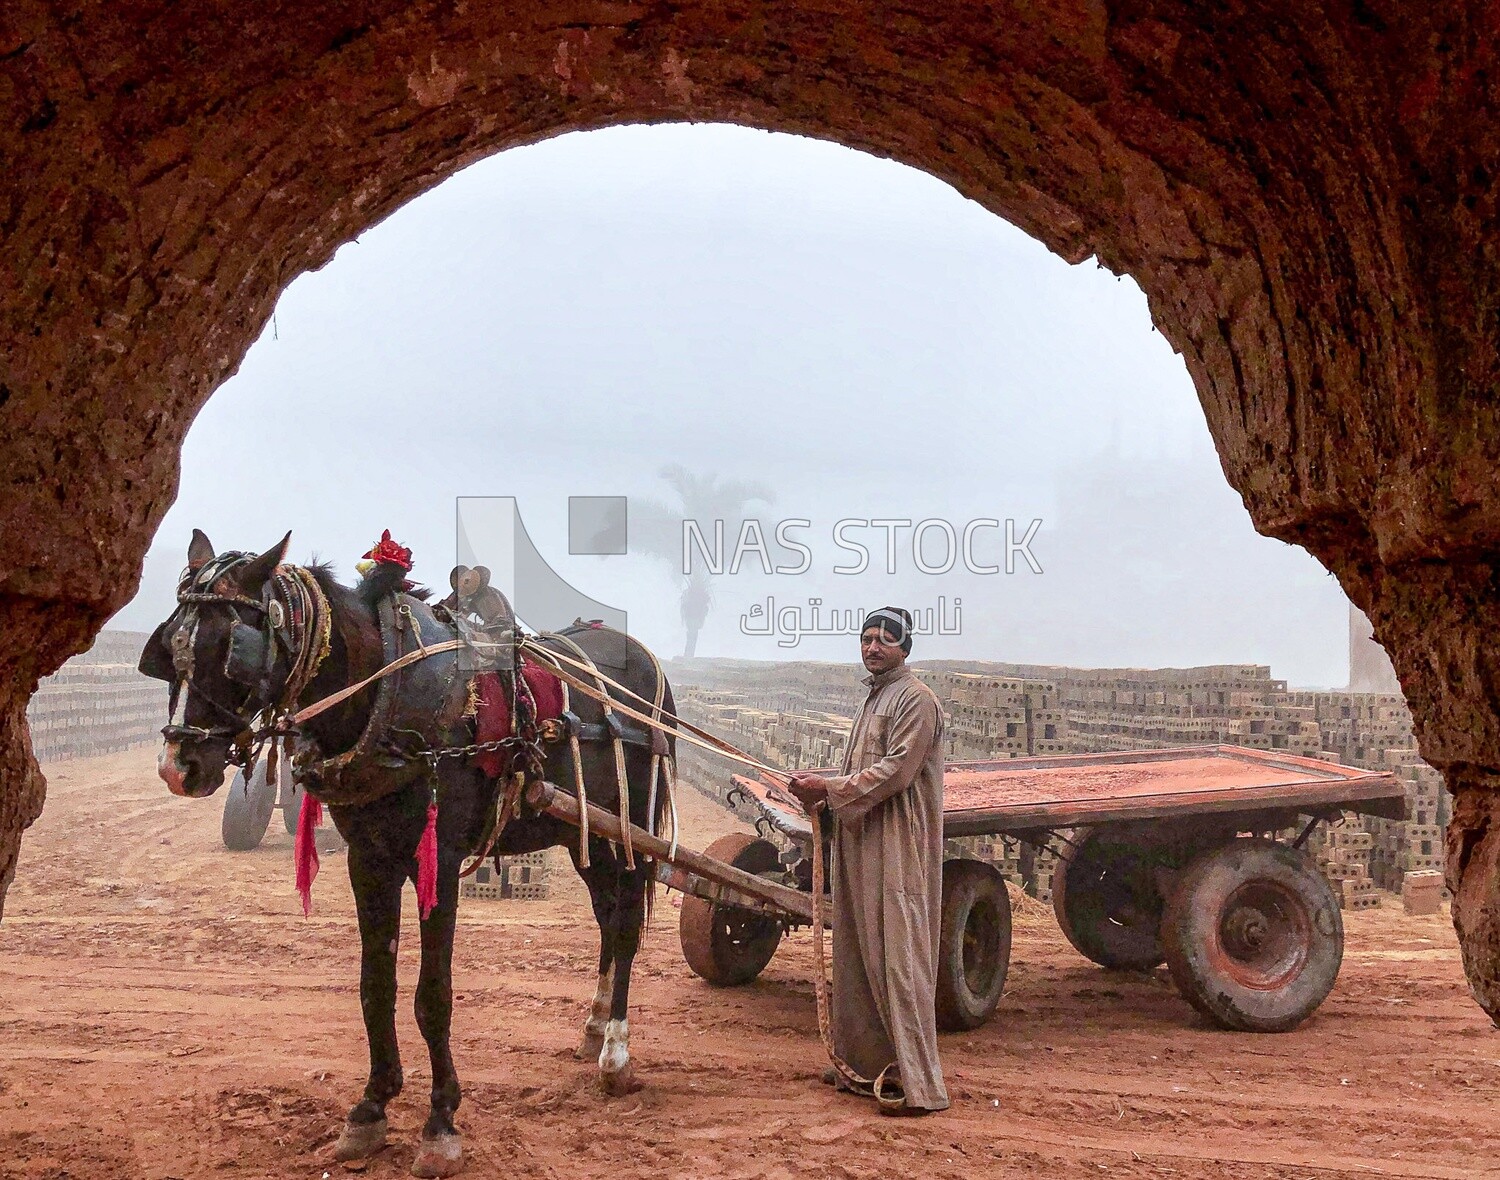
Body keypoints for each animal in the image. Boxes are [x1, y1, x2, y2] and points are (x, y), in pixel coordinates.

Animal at [141, 530, 675, 1175]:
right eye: (170, 644)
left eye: (229, 647)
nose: (178, 766)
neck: (383, 694)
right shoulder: (368, 860)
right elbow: (376, 985)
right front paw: (371, 1109)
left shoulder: (436, 863)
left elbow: (432, 996)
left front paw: (440, 1122)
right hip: (585, 837)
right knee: (607, 918)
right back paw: (595, 1027)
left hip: (626, 828)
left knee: (624, 923)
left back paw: (616, 1051)